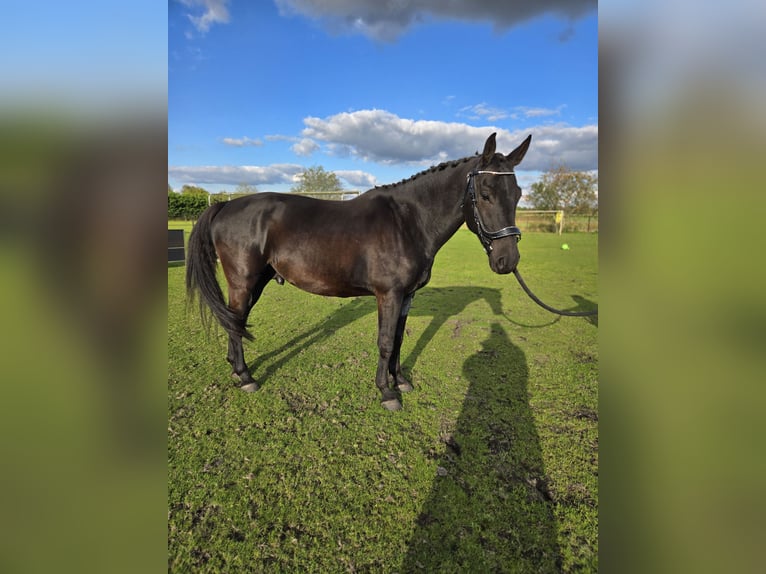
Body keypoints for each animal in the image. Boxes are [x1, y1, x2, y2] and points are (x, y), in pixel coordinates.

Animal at [187, 132, 536, 410]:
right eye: (486, 194)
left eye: (518, 194)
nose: (508, 260)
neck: (409, 221)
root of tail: (225, 205)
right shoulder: (389, 295)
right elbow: (385, 341)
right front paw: (387, 393)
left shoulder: (406, 296)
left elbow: (398, 339)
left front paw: (401, 380)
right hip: (243, 281)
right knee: (235, 322)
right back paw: (246, 377)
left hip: (256, 282)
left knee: (235, 320)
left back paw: (237, 370)